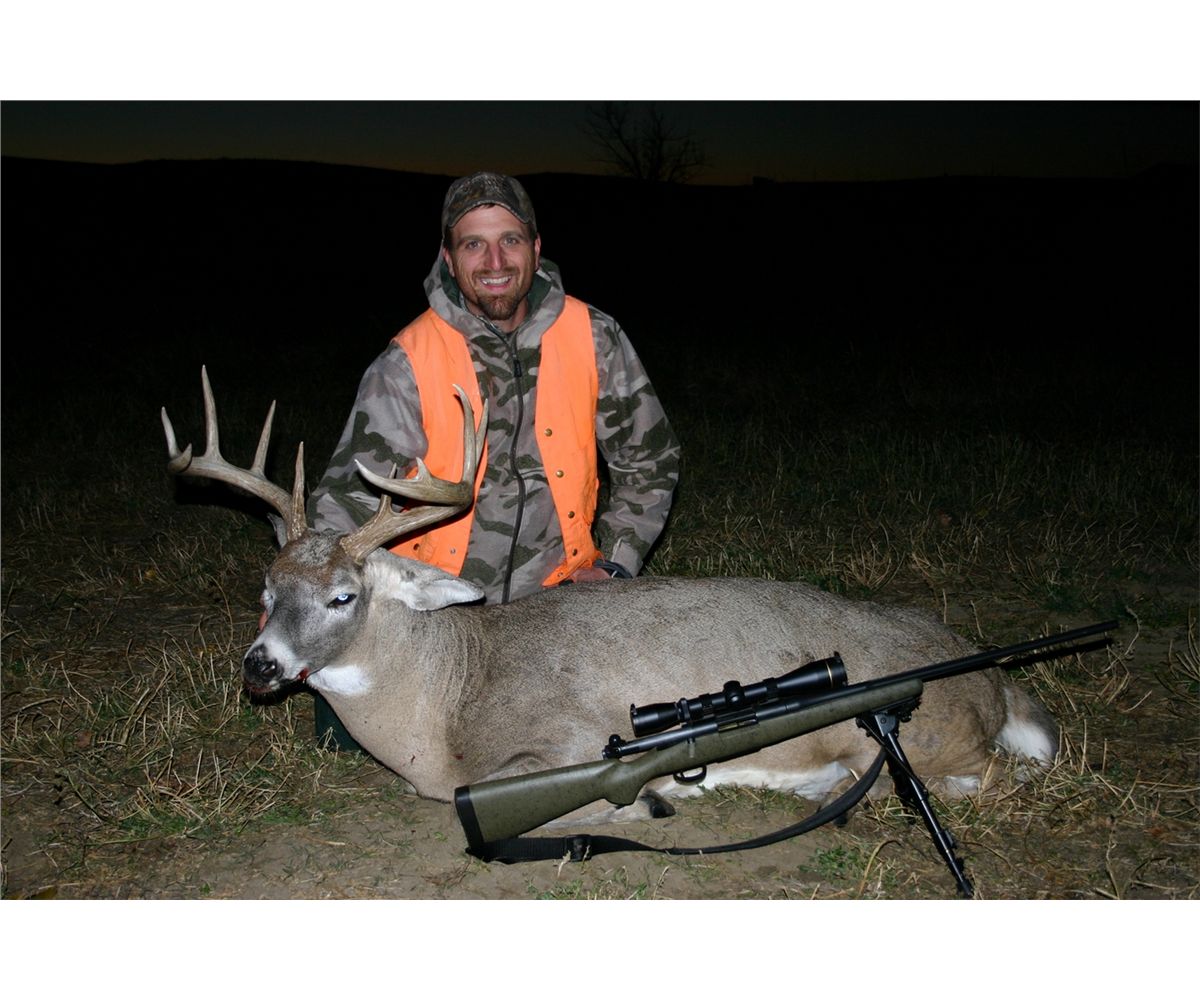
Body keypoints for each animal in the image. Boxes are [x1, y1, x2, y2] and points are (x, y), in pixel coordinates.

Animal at [161, 368, 1060, 826]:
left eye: (344, 596)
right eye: (266, 589)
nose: (259, 666)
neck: (444, 703)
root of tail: (991, 676)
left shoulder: (568, 736)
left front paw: (649, 799)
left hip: (935, 733)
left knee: (999, 776)